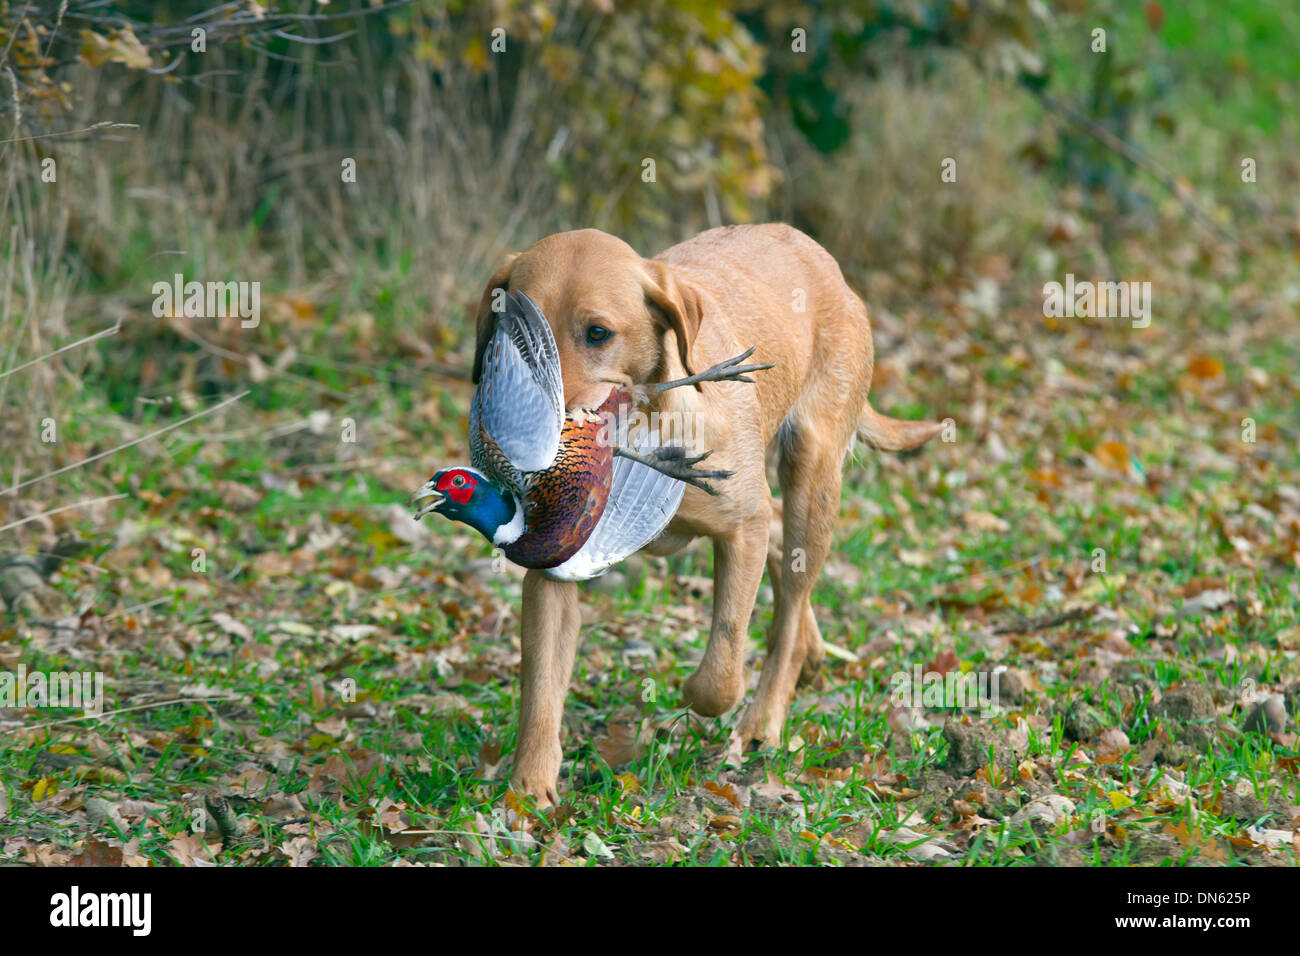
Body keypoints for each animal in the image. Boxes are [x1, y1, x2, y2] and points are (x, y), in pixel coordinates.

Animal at [473, 221, 941, 806]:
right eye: (515, 338)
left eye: (597, 333)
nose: (530, 440)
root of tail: (819, 255)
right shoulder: (553, 564)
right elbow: (539, 686)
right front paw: (528, 789)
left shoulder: (742, 528)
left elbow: (720, 672)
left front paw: (698, 698)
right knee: (787, 578)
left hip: (811, 473)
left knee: (788, 612)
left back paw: (764, 722)